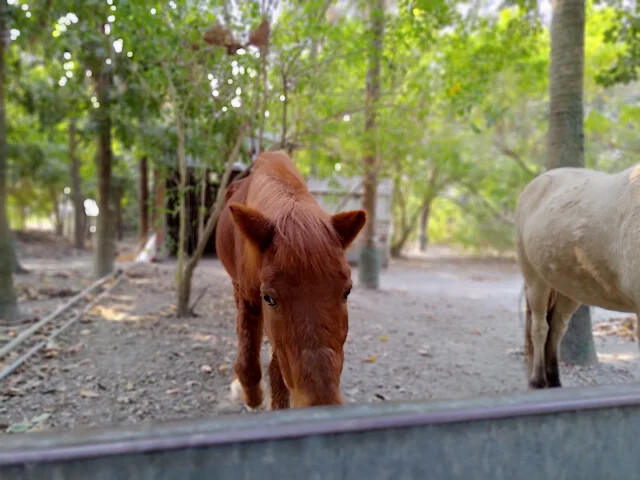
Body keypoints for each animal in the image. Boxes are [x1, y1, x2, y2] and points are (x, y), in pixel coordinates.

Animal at [215, 151, 366, 409]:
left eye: (347, 291)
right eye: (269, 298)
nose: (321, 402)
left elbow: (278, 370)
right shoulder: (250, 299)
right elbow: (247, 358)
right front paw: (251, 394)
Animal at [515, 164, 640, 389]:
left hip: (569, 291)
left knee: (557, 330)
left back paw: (554, 380)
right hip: (536, 281)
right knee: (540, 328)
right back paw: (537, 380)